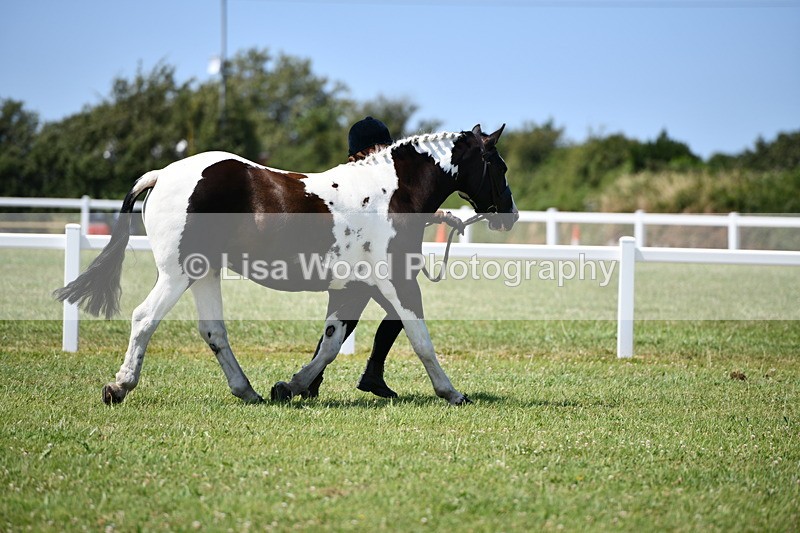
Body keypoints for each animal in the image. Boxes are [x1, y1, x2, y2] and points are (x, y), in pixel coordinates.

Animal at [55, 124, 518, 406]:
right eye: (498, 165)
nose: (509, 215)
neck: (391, 195)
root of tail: (163, 175)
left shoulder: (353, 288)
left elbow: (332, 341)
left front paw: (290, 386)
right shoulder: (397, 282)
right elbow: (420, 339)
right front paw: (451, 392)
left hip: (204, 272)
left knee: (213, 331)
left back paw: (248, 391)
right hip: (178, 273)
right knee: (144, 317)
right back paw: (119, 386)